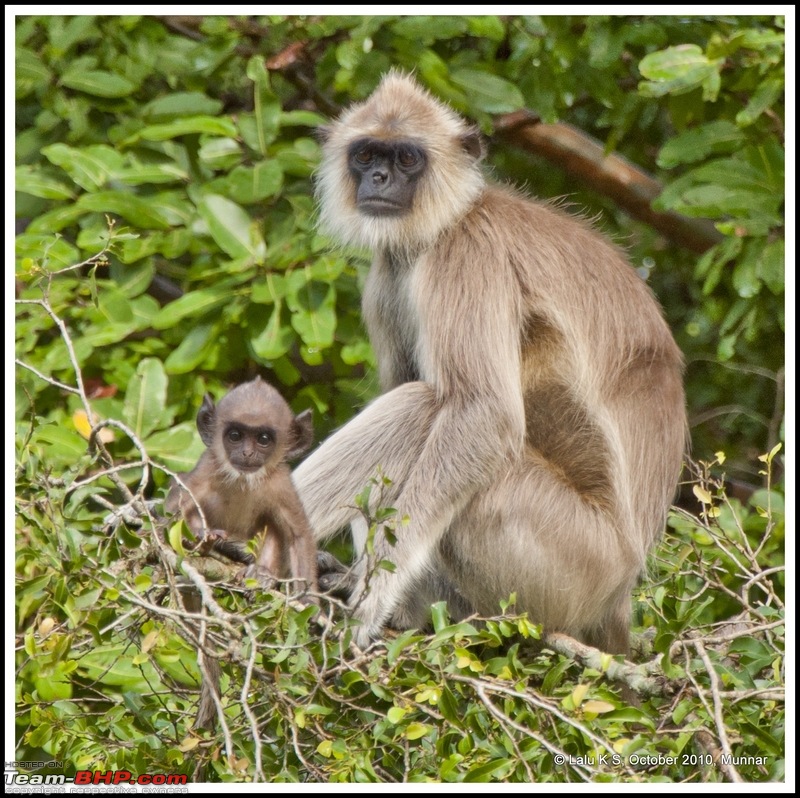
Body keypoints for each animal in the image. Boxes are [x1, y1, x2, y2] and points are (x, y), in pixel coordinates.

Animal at [294, 70, 688, 656]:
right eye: (366, 155)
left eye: (407, 158)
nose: (380, 178)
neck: (447, 222)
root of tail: (619, 600)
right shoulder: (388, 272)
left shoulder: (467, 253)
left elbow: (484, 414)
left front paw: (371, 597)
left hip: (565, 554)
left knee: (427, 407)